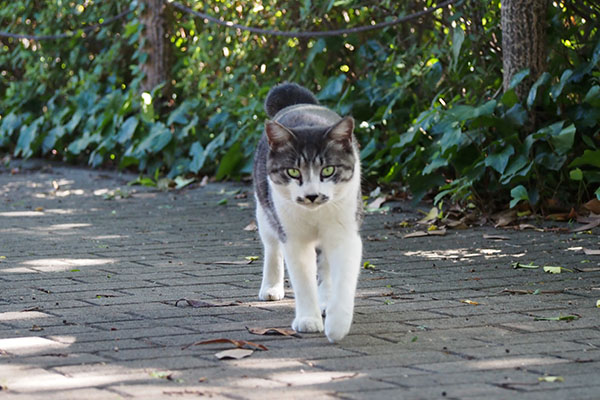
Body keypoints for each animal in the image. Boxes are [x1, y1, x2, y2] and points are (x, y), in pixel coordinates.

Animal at [252, 82, 364, 344]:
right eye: (293, 172)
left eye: (328, 170)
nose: (312, 195)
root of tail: (299, 103)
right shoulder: (293, 238)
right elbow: (303, 279)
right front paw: (308, 320)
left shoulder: (346, 233)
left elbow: (344, 278)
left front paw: (337, 324)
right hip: (264, 210)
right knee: (272, 247)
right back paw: (271, 288)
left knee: (325, 266)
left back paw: (326, 301)